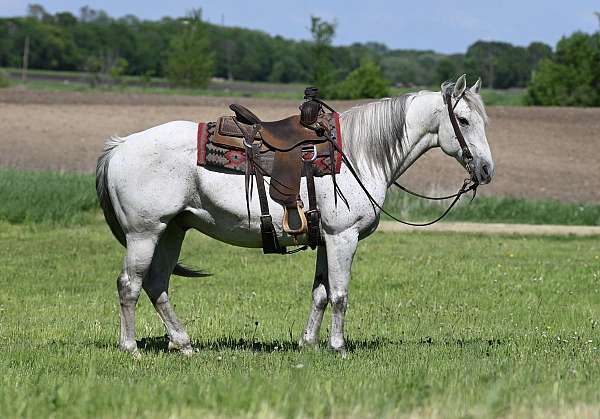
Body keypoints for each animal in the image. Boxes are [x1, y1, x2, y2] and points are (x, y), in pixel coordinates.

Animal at [97, 76, 492, 358]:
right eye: (462, 119)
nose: (487, 170)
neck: (361, 155)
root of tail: (120, 146)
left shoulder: (326, 238)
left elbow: (320, 293)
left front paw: (308, 343)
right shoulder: (343, 236)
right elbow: (340, 294)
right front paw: (338, 347)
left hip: (172, 230)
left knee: (156, 284)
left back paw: (183, 344)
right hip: (145, 232)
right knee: (130, 285)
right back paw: (131, 348)